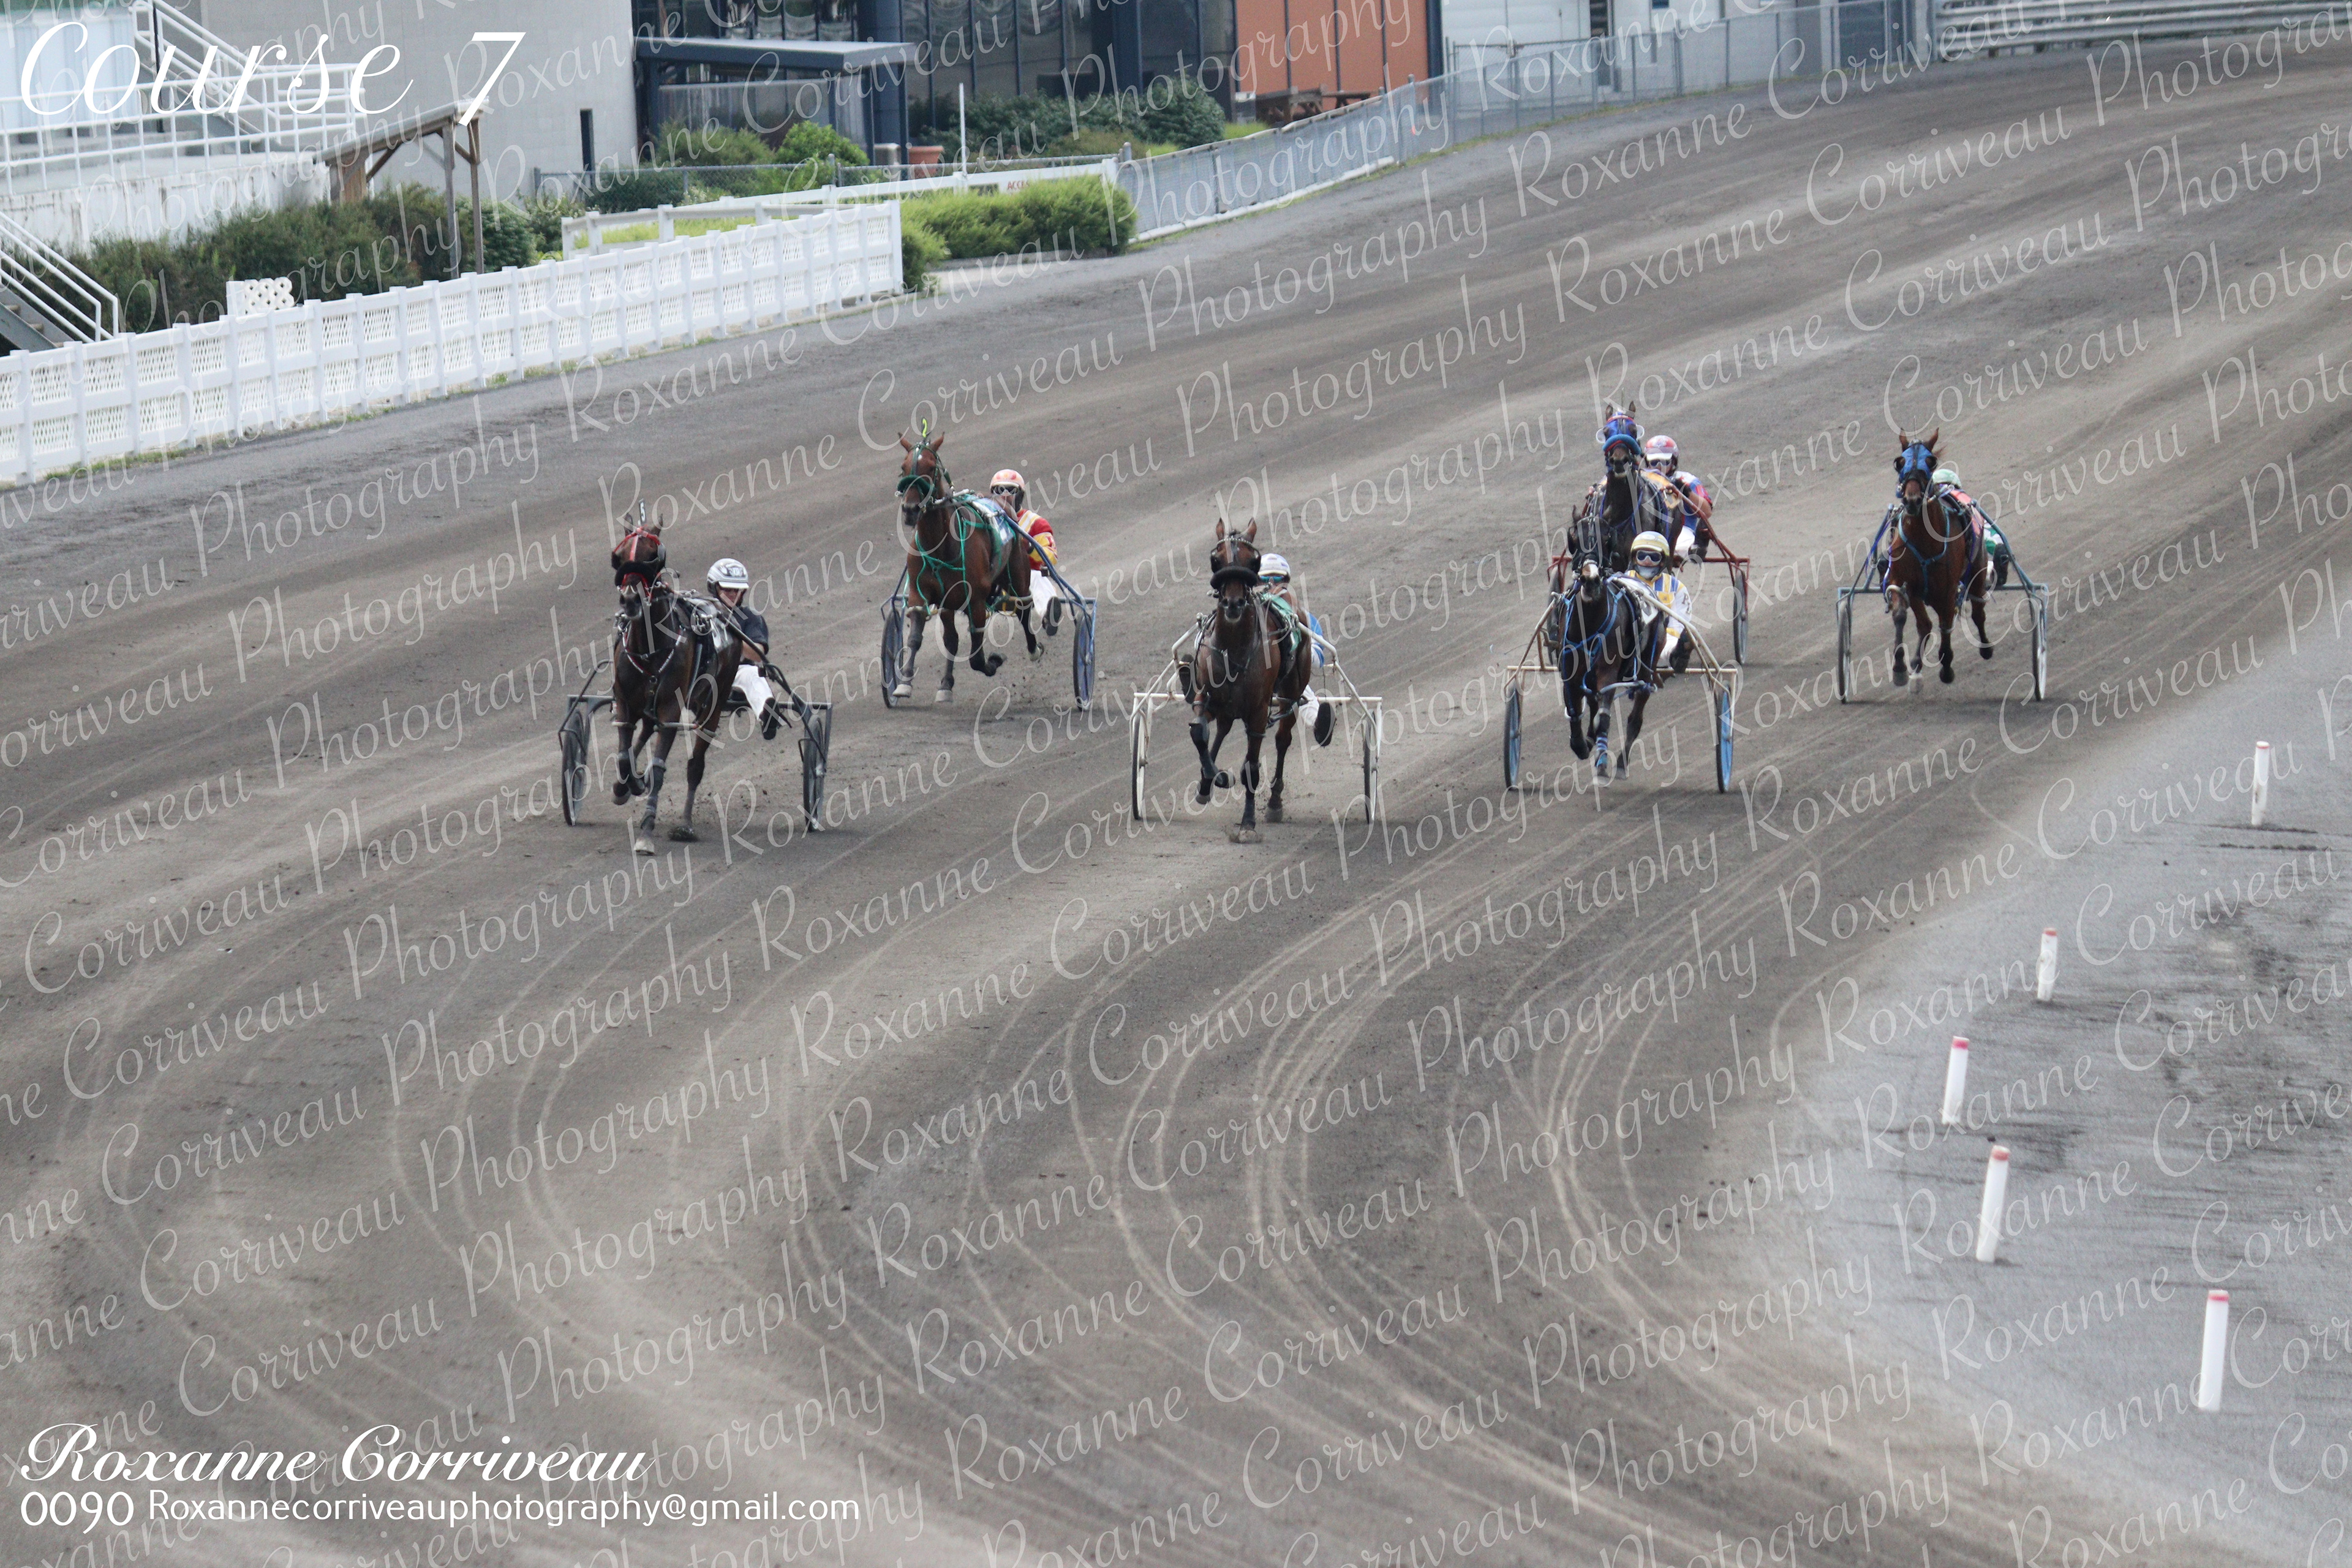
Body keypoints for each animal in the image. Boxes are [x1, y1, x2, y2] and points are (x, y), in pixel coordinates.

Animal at [610, 522, 740, 853]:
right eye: (619, 556)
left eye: (652, 556)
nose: (630, 600)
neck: (650, 649)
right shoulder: (625, 702)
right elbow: (624, 757)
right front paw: (627, 784)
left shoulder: (670, 709)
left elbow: (659, 768)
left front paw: (646, 832)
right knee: (644, 731)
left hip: (714, 706)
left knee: (695, 766)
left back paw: (685, 824)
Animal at [893, 430, 1039, 703]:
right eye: (903, 467)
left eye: (932, 467)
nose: (910, 510)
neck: (940, 544)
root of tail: (1001, 502)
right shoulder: (921, 593)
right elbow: (917, 637)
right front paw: (905, 682)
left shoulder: (977, 600)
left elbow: (977, 658)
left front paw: (994, 660)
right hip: (950, 601)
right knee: (951, 639)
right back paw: (945, 685)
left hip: (1017, 574)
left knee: (1024, 607)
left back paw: (1035, 649)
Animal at [1189, 520, 1312, 841]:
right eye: (1216, 559)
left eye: (1252, 561)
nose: (1233, 603)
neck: (1234, 648)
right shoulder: (1204, 695)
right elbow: (1199, 733)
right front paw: (1214, 777)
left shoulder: (1257, 713)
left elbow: (1252, 768)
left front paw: (1247, 823)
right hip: (1226, 705)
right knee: (1220, 728)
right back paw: (1207, 783)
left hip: (1290, 693)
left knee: (1283, 739)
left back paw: (1275, 801)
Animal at [1548, 551, 1652, 779]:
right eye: (1576, 547)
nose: (1591, 580)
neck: (1589, 621)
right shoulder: (1570, 670)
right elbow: (1575, 710)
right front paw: (1581, 744)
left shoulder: (1607, 670)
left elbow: (1603, 716)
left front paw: (1602, 762)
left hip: (1647, 667)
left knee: (1636, 716)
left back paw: (1621, 763)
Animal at [1885, 430, 1993, 687]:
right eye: (1900, 462)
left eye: (1931, 461)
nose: (1912, 500)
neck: (1923, 539)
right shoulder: (1904, 581)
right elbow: (1902, 615)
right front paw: (1900, 667)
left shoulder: (1947, 588)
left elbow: (1946, 623)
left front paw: (1946, 665)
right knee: (1926, 625)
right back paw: (1916, 664)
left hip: (1976, 571)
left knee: (1977, 611)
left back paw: (1985, 647)